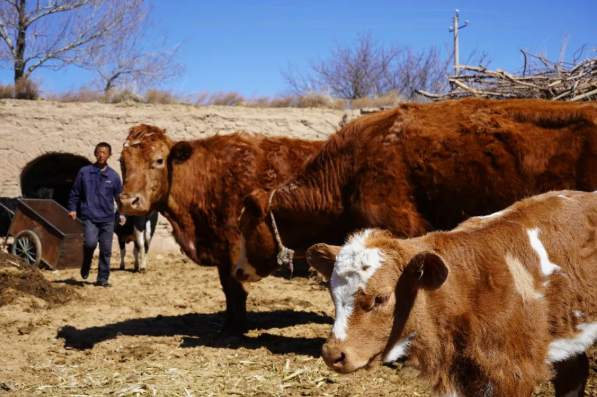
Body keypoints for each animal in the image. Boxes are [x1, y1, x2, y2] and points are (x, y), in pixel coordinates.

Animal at [116, 124, 322, 334]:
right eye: (121, 160)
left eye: (159, 160)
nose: (128, 201)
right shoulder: (221, 251)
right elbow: (227, 289)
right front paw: (227, 326)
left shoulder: (237, 246)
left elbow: (238, 288)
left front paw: (238, 329)